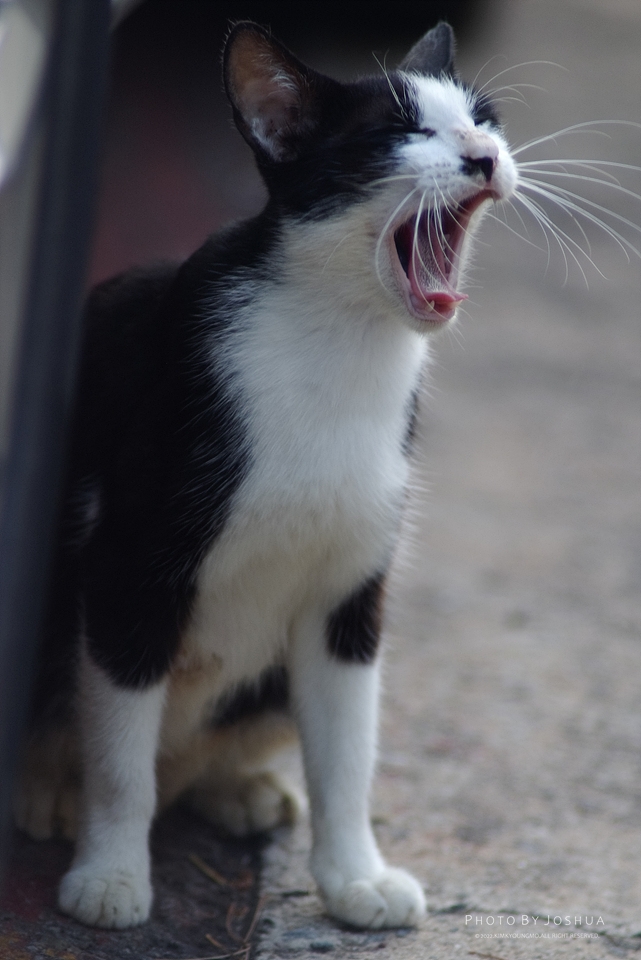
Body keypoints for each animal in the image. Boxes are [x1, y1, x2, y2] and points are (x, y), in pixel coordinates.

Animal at [14, 20, 517, 930]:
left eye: (482, 119)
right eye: (397, 132)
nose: (483, 155)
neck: (336, 342)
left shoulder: (350, 591)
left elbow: (347, 749)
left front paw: (355, 876)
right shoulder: (131, 567)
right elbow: (120, 756)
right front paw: (109, 873)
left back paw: (238, 786)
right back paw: (47, 790)